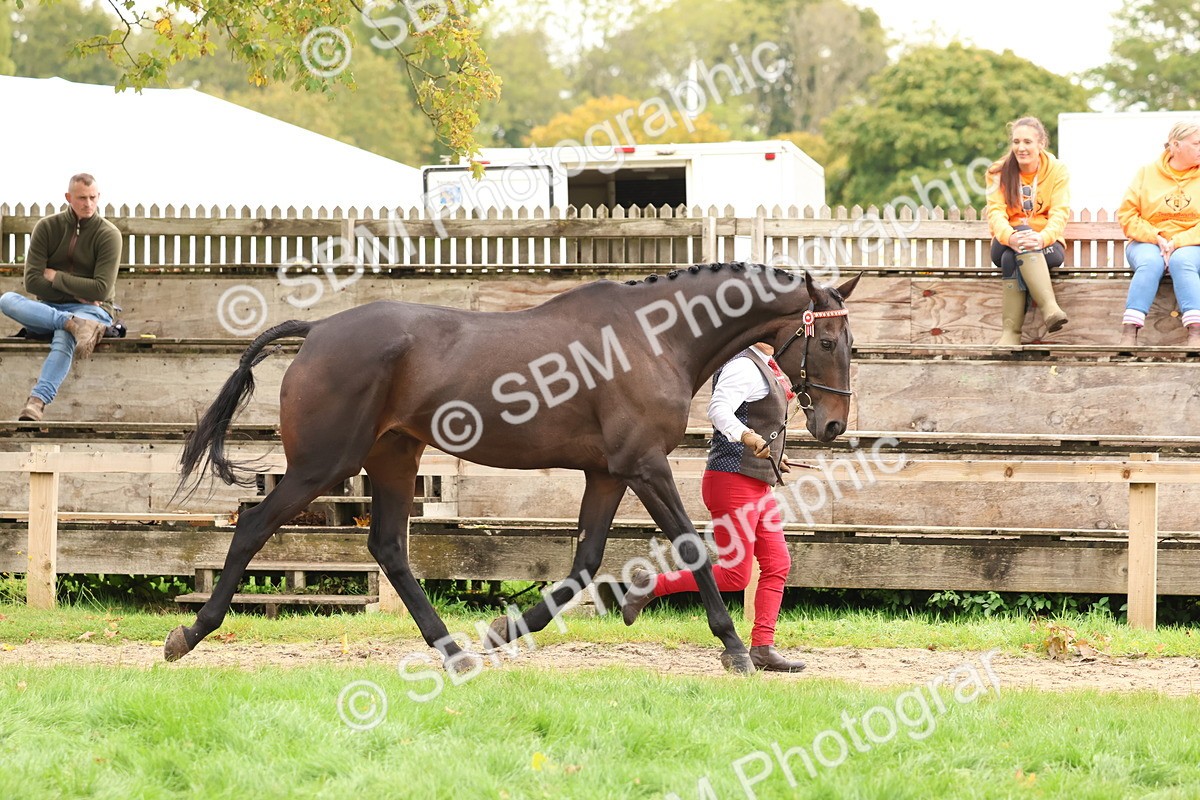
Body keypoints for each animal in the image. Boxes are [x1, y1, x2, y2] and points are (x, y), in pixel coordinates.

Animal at [168, 263, 859, 674]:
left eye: (849, 342)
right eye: (826, 341)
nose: (832, 425)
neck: (654, 338)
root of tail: (317, 332)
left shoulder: (609, 474)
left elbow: (583, 564)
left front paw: (504, 630)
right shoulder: (645, 467)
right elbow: (690, 546)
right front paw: (737, 650)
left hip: (393, 458)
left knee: (388, 545)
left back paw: (453, 650)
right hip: (320, 465)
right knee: (254, 526)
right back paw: (190, 634)